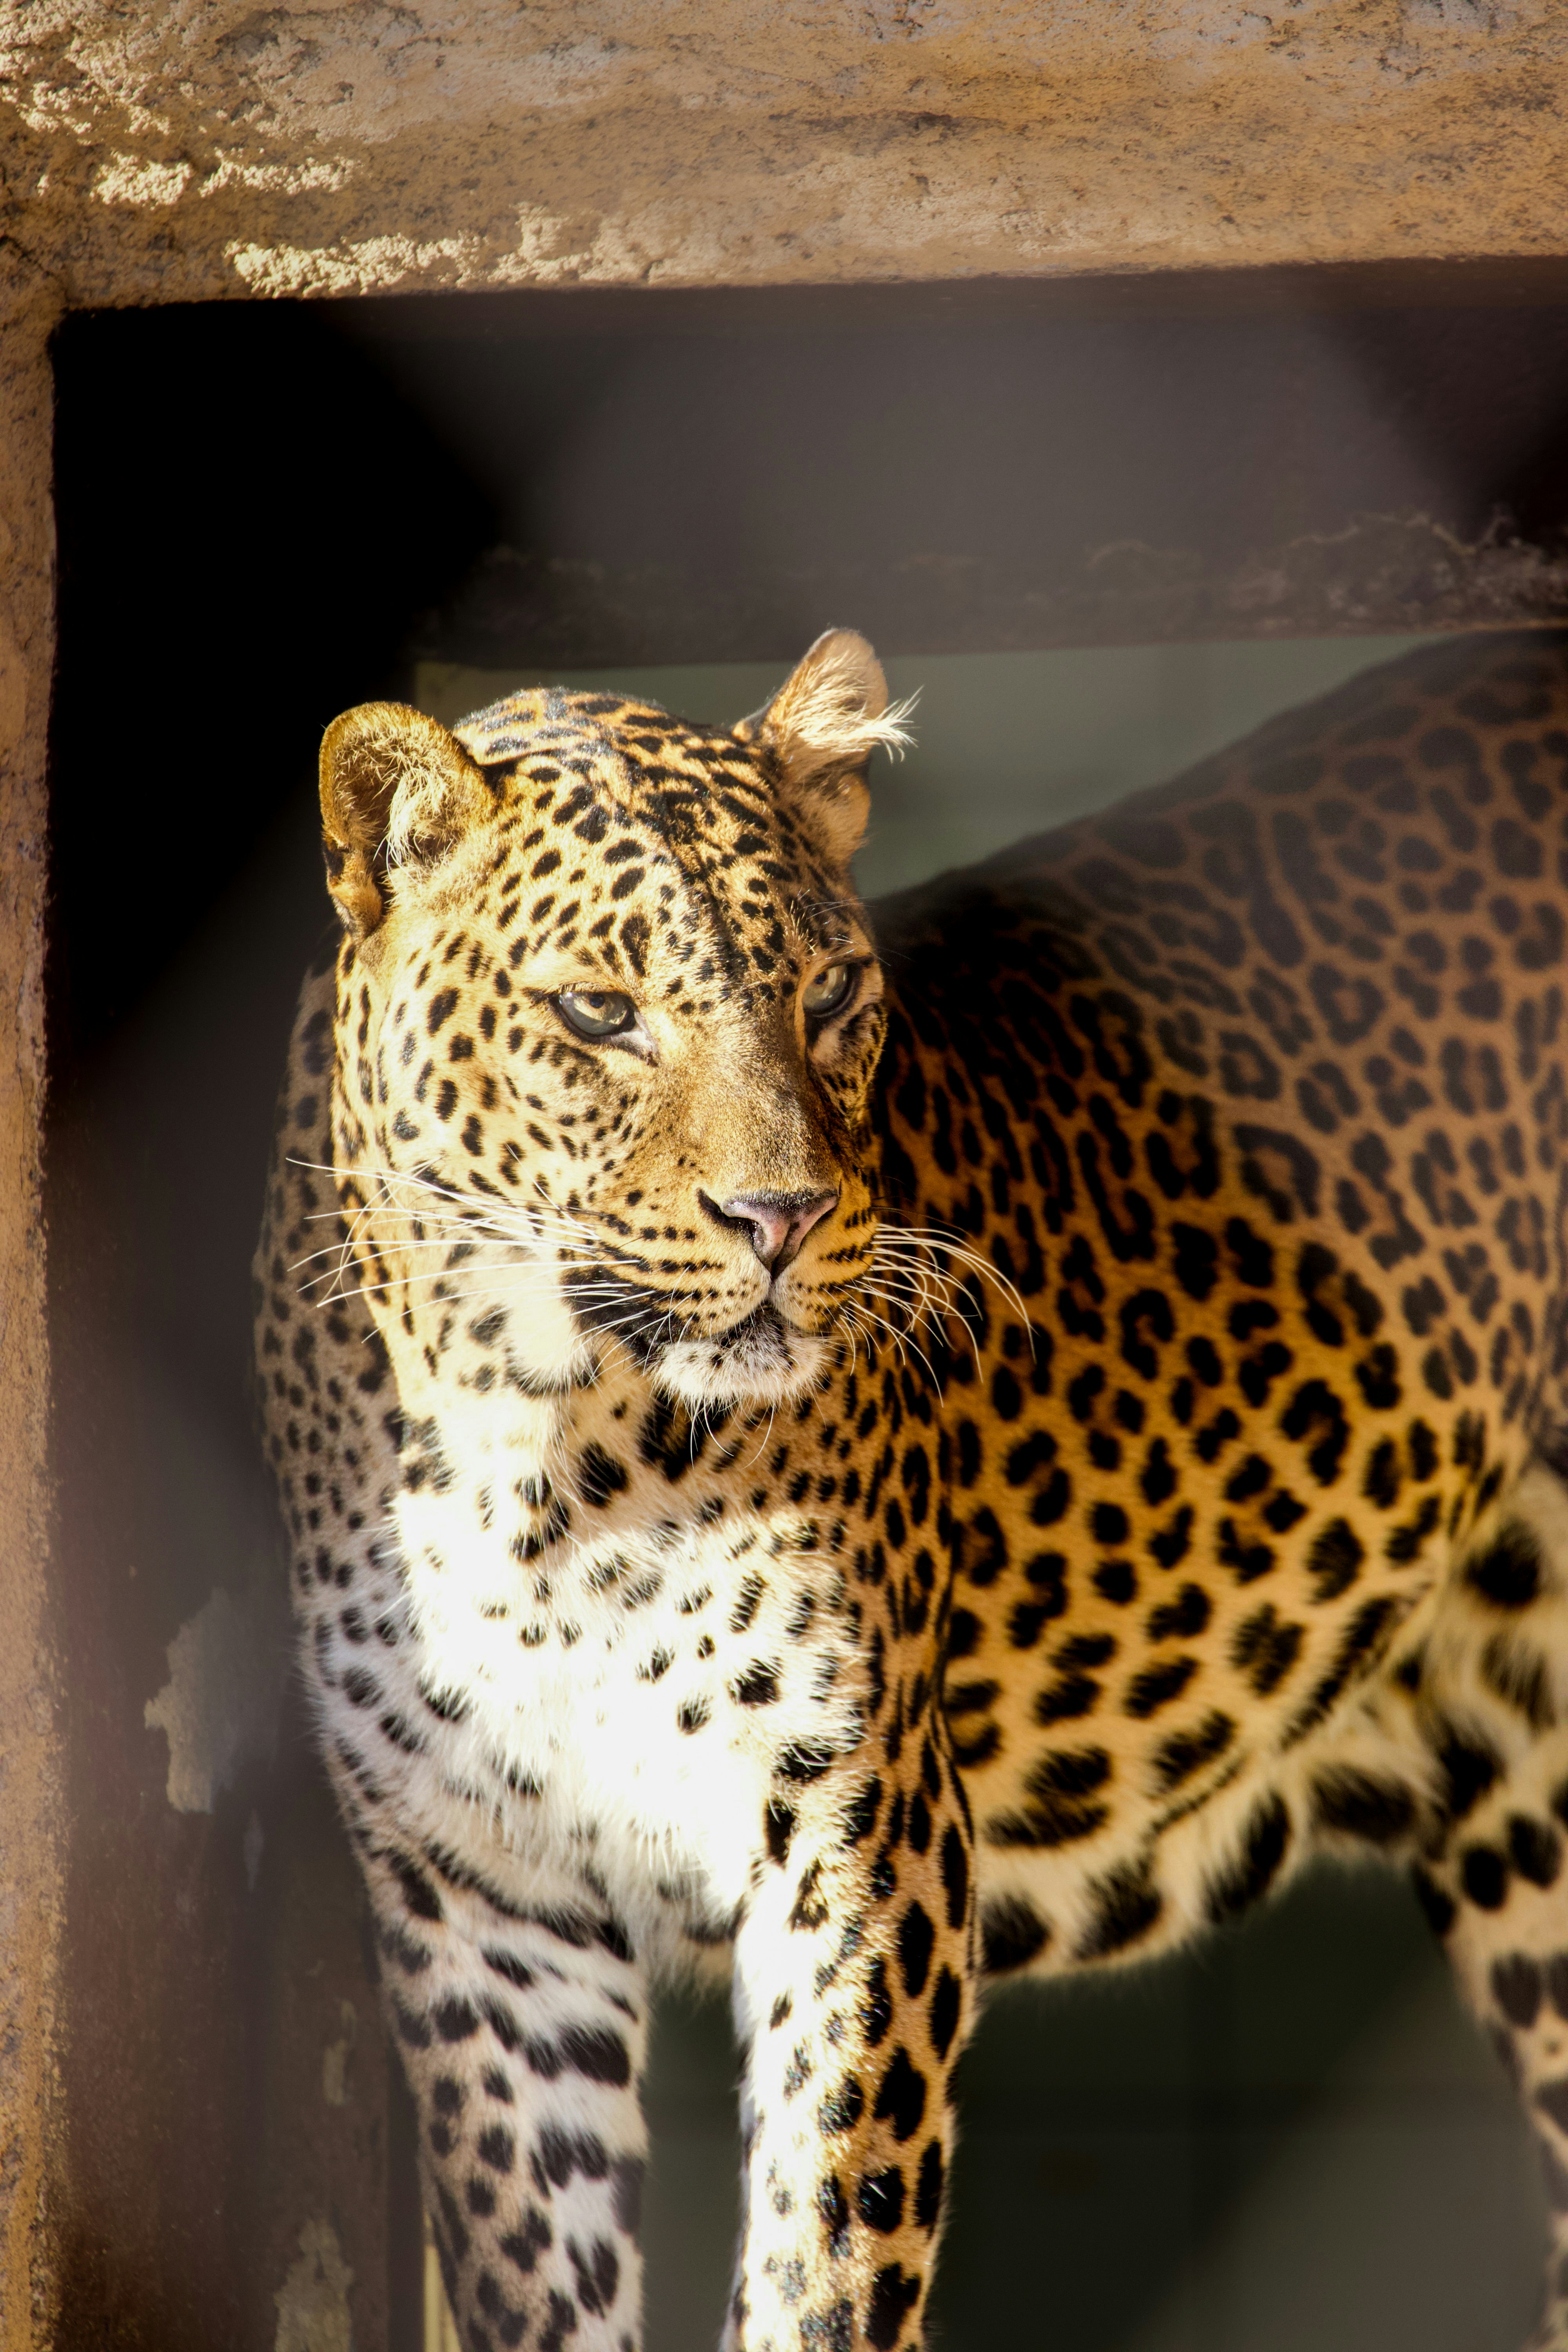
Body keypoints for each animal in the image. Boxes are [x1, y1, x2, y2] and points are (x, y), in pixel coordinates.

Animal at [256, 623, 1568, 2352]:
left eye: (827, 997)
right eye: (599, 1012)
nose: (783, 1220)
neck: (534, 1441)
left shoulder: (852, 1828)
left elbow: (824, 2254)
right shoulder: (480, 1888)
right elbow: (537, 2266)